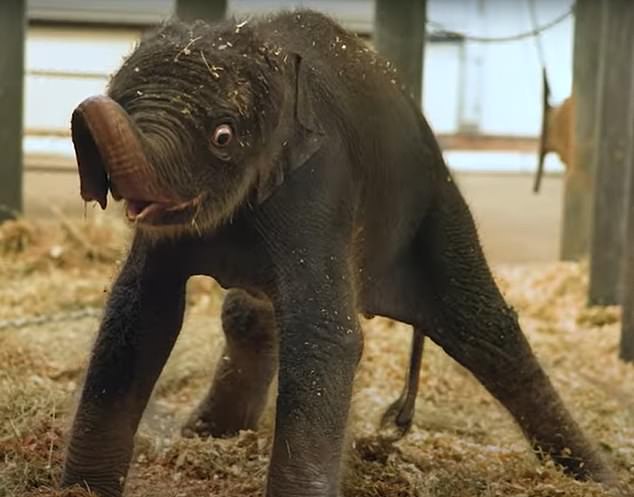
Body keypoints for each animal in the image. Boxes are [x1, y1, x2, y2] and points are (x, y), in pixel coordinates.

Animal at [63, 8, 612, 496]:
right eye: (121, 102)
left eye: (223, 136)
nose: (87, 112)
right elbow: (139, 315)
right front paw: (81, 490)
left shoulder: (318, 183)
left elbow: (324, 333)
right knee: (248, 314)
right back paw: (206, 432)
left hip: (434, 202)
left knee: (487, 331)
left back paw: (597, 477)